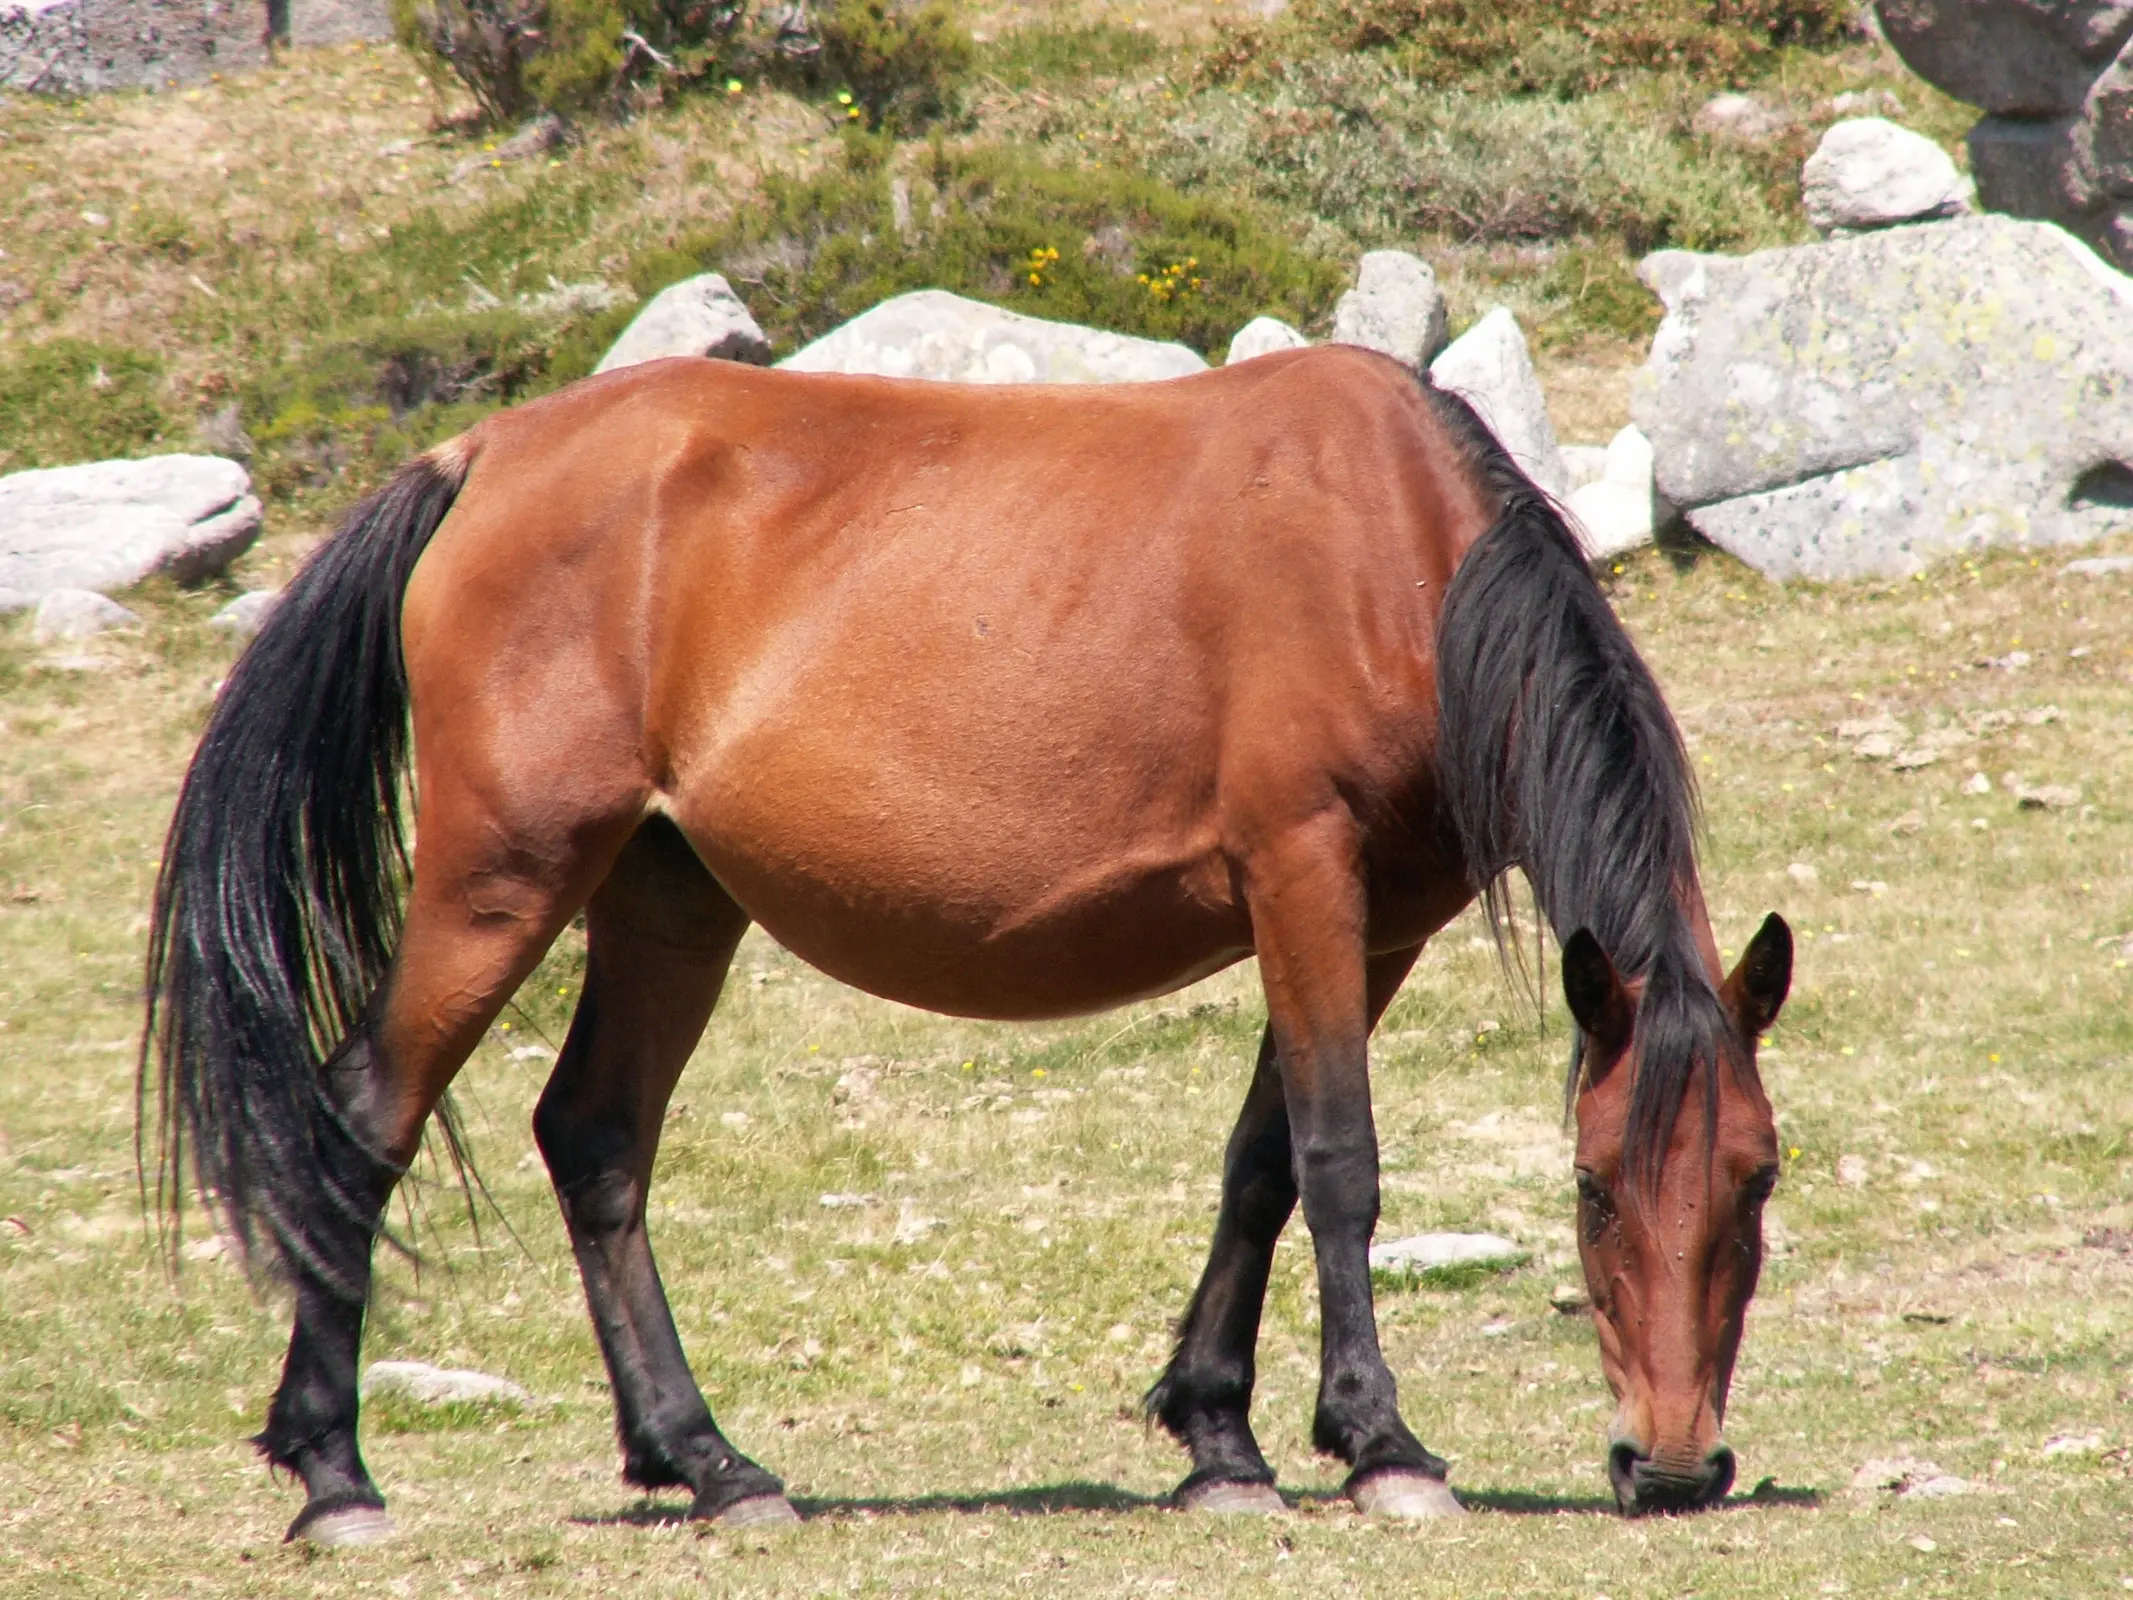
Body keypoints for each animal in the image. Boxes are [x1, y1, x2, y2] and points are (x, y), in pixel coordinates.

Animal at [141, 345, 1791, 1544]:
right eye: (1588, 1189)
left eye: (1757, 1181)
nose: (1672, 1465)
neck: (1394, 555)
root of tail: (484, 458)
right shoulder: (1301, 876)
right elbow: (1338, 1162)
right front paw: (1379, 1443)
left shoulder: (1370, 919)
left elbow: (1260, 1162)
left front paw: (1217, 1437)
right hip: (502, 881)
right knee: (367, 1117)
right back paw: (336, 1477)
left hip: (667, 896)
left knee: (596, 1140)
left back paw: (710, 1465)